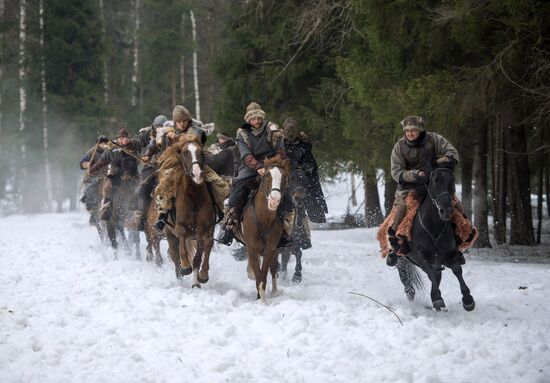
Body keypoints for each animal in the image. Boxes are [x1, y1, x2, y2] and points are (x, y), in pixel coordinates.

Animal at [158, 135, 217, 288]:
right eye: (184, 153)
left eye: (201, 152)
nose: (197, 174)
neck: (194, 197)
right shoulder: (181, 227)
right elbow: (182, 242)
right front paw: (186, 266)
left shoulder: (205, 229)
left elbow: (205, 249)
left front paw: (202, 276)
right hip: (169, 234)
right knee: (175, 257)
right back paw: (180, 278)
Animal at [243, 158, 294, 302]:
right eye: (266, 175)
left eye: (285, 177)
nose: (274, 199)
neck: (263, 220)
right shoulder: (252, 249)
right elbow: (257, 275)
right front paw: (262, 301)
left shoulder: (270, 250)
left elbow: (263, 276)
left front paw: (262, 299)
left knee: (274, 268)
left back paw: (275, 291)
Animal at [398, 167, 476, 312]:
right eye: (434, 182)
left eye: (452, 182)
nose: (446, 210)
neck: (433, 227)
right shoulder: (421, 257)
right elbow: (432, 274)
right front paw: (438, 298)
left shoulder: (450, 255)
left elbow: (457, 271)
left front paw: (468, 300)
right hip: (402, 261)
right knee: (407, 280)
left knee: (437, 276)